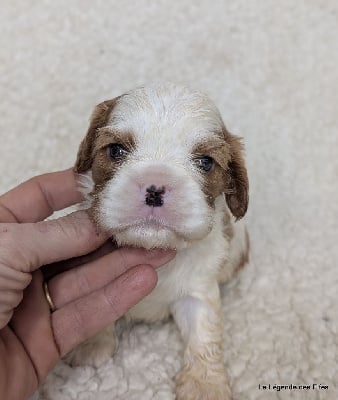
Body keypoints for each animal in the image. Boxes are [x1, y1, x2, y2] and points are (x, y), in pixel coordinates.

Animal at [67, 82, 250, 400]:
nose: (155, 188)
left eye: (205, 162)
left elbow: (204, 334)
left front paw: (205, 385)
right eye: (115, 150)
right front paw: (90, 344)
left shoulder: (198, 289)